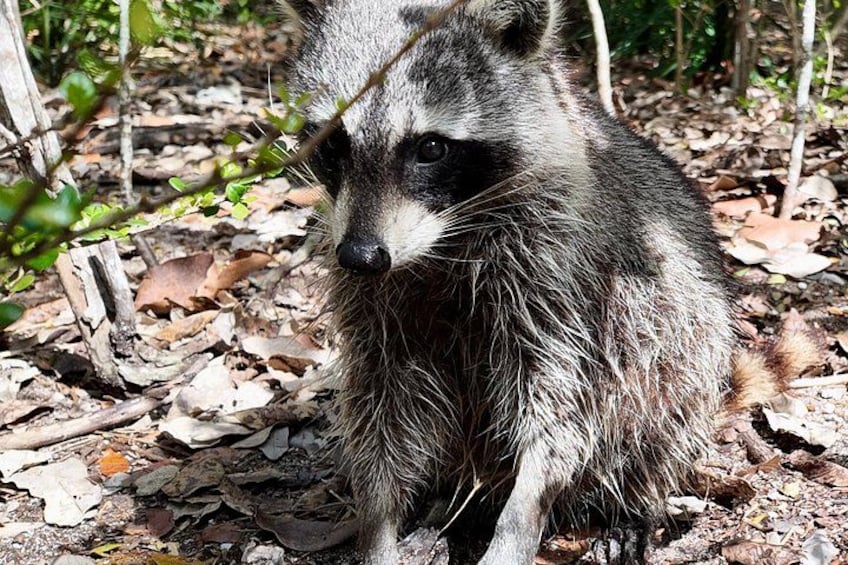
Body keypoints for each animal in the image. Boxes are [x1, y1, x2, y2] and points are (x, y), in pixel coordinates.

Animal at [282, 0, 735, 563]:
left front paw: (523, 512)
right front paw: (378, 518)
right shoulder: (370, 298)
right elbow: (379, 401)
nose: (362, 257)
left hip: (688, 343)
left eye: (431, 148)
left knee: (662, 408)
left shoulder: (560, 275)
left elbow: (562, 404)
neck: (443, 240)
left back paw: (633, 505)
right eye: (333, 143)